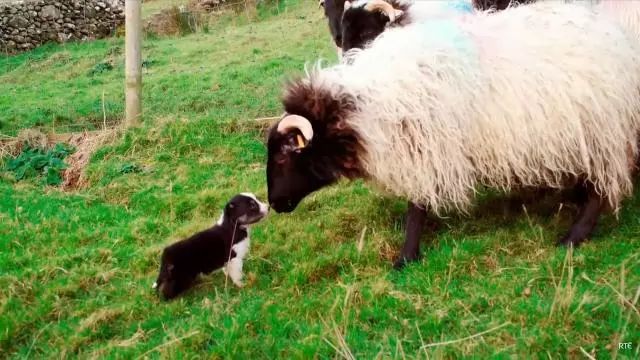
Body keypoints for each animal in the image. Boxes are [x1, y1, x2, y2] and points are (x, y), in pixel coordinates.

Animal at [268, 1, 640, 268]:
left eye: (284, 155)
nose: (274, 204)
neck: (364, 108)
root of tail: (617, 41)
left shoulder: (427, 148)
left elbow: (416, 206)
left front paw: (406, 256)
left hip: (603, 130)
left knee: (602, 191)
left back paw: (573, 237)